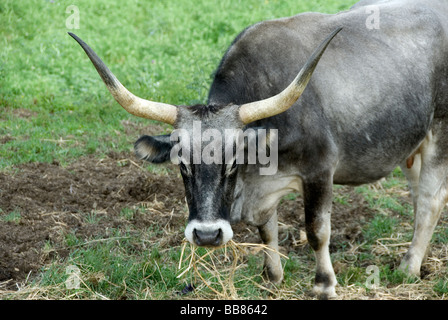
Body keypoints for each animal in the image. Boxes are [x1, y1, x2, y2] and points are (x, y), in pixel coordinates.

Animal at [70, 0, 448, 298]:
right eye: (182, 165)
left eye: (232, 163)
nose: (206, 235)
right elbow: (267, 230)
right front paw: (273, 276)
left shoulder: (319, 170)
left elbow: (317, 230)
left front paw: (324, 284)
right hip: (411, 145)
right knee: (419, 198)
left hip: (439, 133)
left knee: (430, 199)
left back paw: (409, 267)